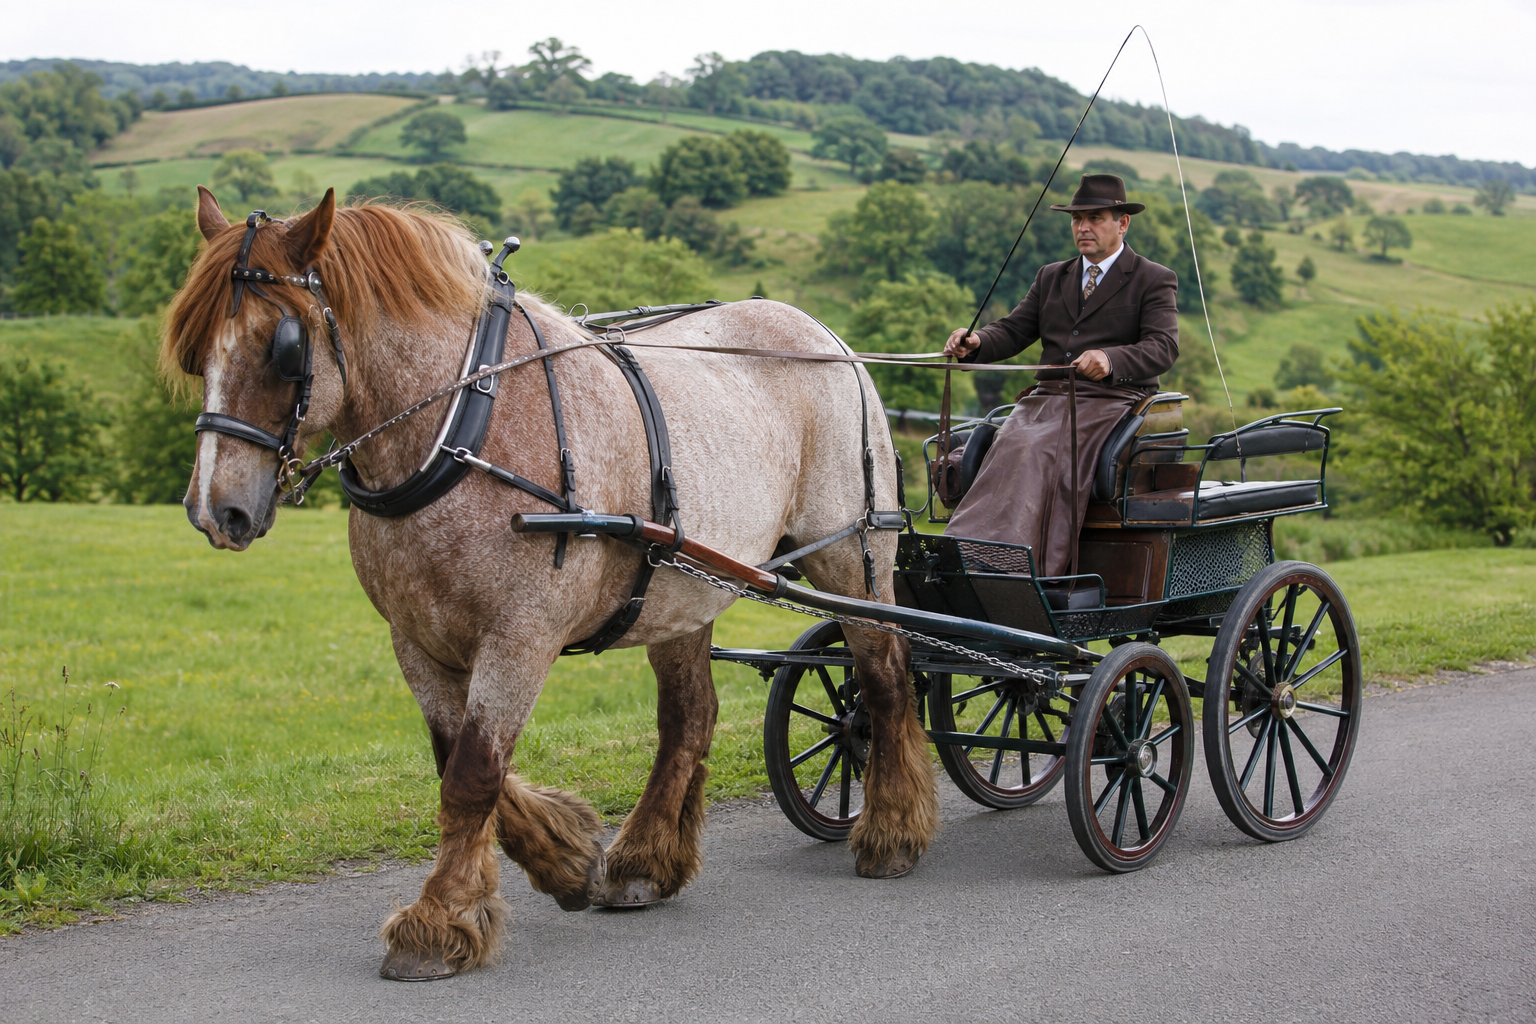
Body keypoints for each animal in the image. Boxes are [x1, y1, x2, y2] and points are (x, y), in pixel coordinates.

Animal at [164, 186, 939, 980]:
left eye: (281, 347)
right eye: (195, 352)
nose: (215, 510)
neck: (461, 426)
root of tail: (826, 336)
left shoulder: (521, 634)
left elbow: (474, 771)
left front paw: (439, 921)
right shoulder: (417, 640)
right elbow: (457, 761)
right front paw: (563, 856)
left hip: (849, 554)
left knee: (883, 676)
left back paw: (891, 831)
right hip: (682, 588)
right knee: (689, 717)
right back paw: (646, 861)